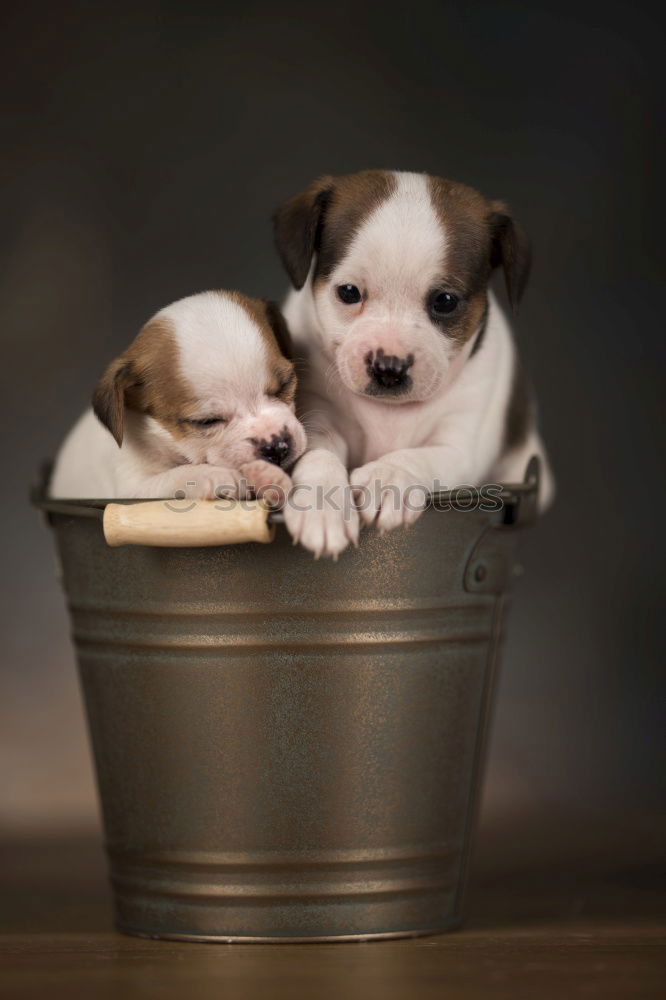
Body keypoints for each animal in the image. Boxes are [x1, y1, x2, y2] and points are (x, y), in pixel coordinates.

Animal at [51, 292, 306, 504]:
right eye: (206, 421)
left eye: (285, 384)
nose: (277, 446)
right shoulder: (132, 490)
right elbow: (176, 476)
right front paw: (214, 474)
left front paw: (267, 477)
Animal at [272, 169, 552, 560]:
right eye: (348, 292)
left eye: (445, 301)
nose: (389, 367)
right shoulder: (315, 420)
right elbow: (319, 455)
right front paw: (322, 504)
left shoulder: (460, 448)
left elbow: (419, 457)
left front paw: (389, 479)